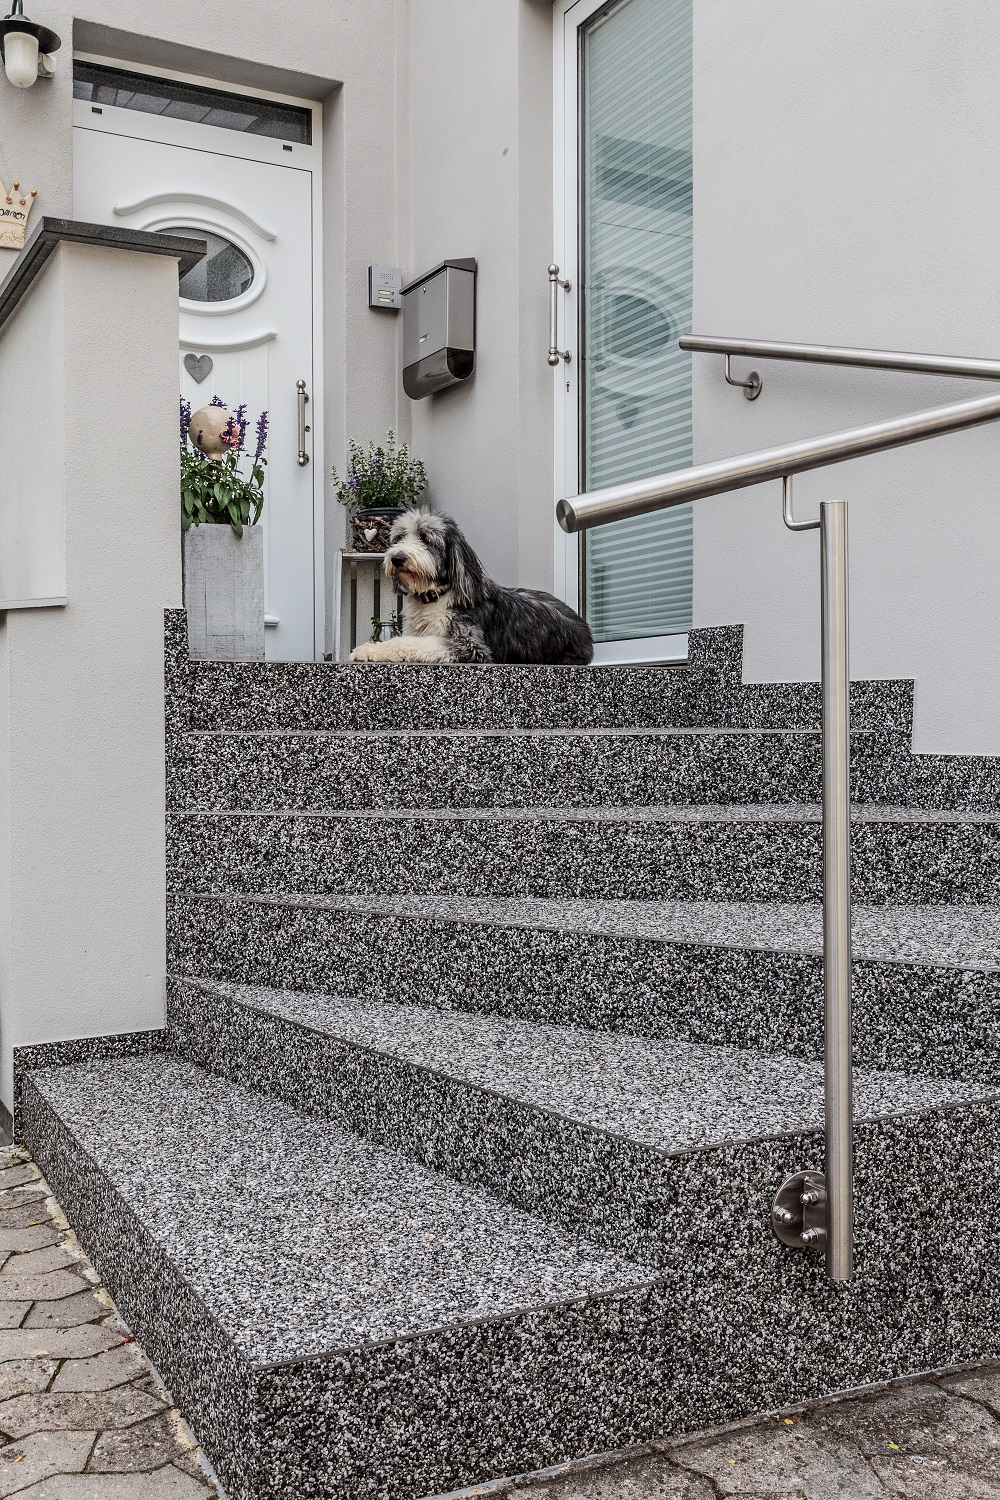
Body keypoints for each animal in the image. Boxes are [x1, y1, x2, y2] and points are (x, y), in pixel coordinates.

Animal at [350, 510, 593, 663]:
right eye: (399, 538)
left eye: (426, 539)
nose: (397, 558)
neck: (437, 595)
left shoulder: (471, 644)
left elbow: (411, 643)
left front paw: (367, 649)